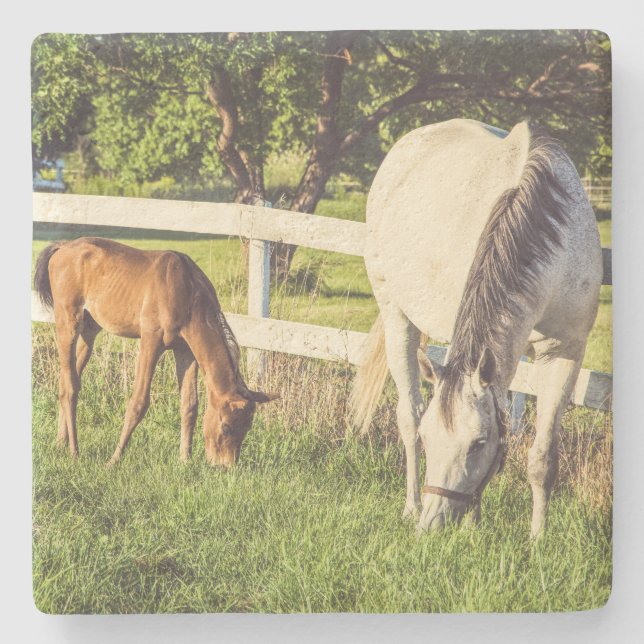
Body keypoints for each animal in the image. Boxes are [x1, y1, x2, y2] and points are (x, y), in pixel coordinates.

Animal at [34, 237, 278, 467]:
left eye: (247, 429)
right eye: (226, 426)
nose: (225, 466)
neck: (187, 291)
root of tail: (62, 247)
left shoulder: (186, 351)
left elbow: (189, 405)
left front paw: (184, 460)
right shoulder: (151, 341)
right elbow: (139, 402)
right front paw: (113, 460)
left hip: (89, 330)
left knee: (68, 379)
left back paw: (60, 442)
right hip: (68, 323)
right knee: (70, 386)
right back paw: (74, 452)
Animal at [351, 119, 602, 537]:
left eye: (479, 443)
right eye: (431, 439)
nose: (431, 525)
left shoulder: (564, 350)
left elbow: (543, 456)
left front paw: (537, 538)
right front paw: (473, 524)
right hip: (396, 316)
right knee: (408, 414)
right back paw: (410, 505)